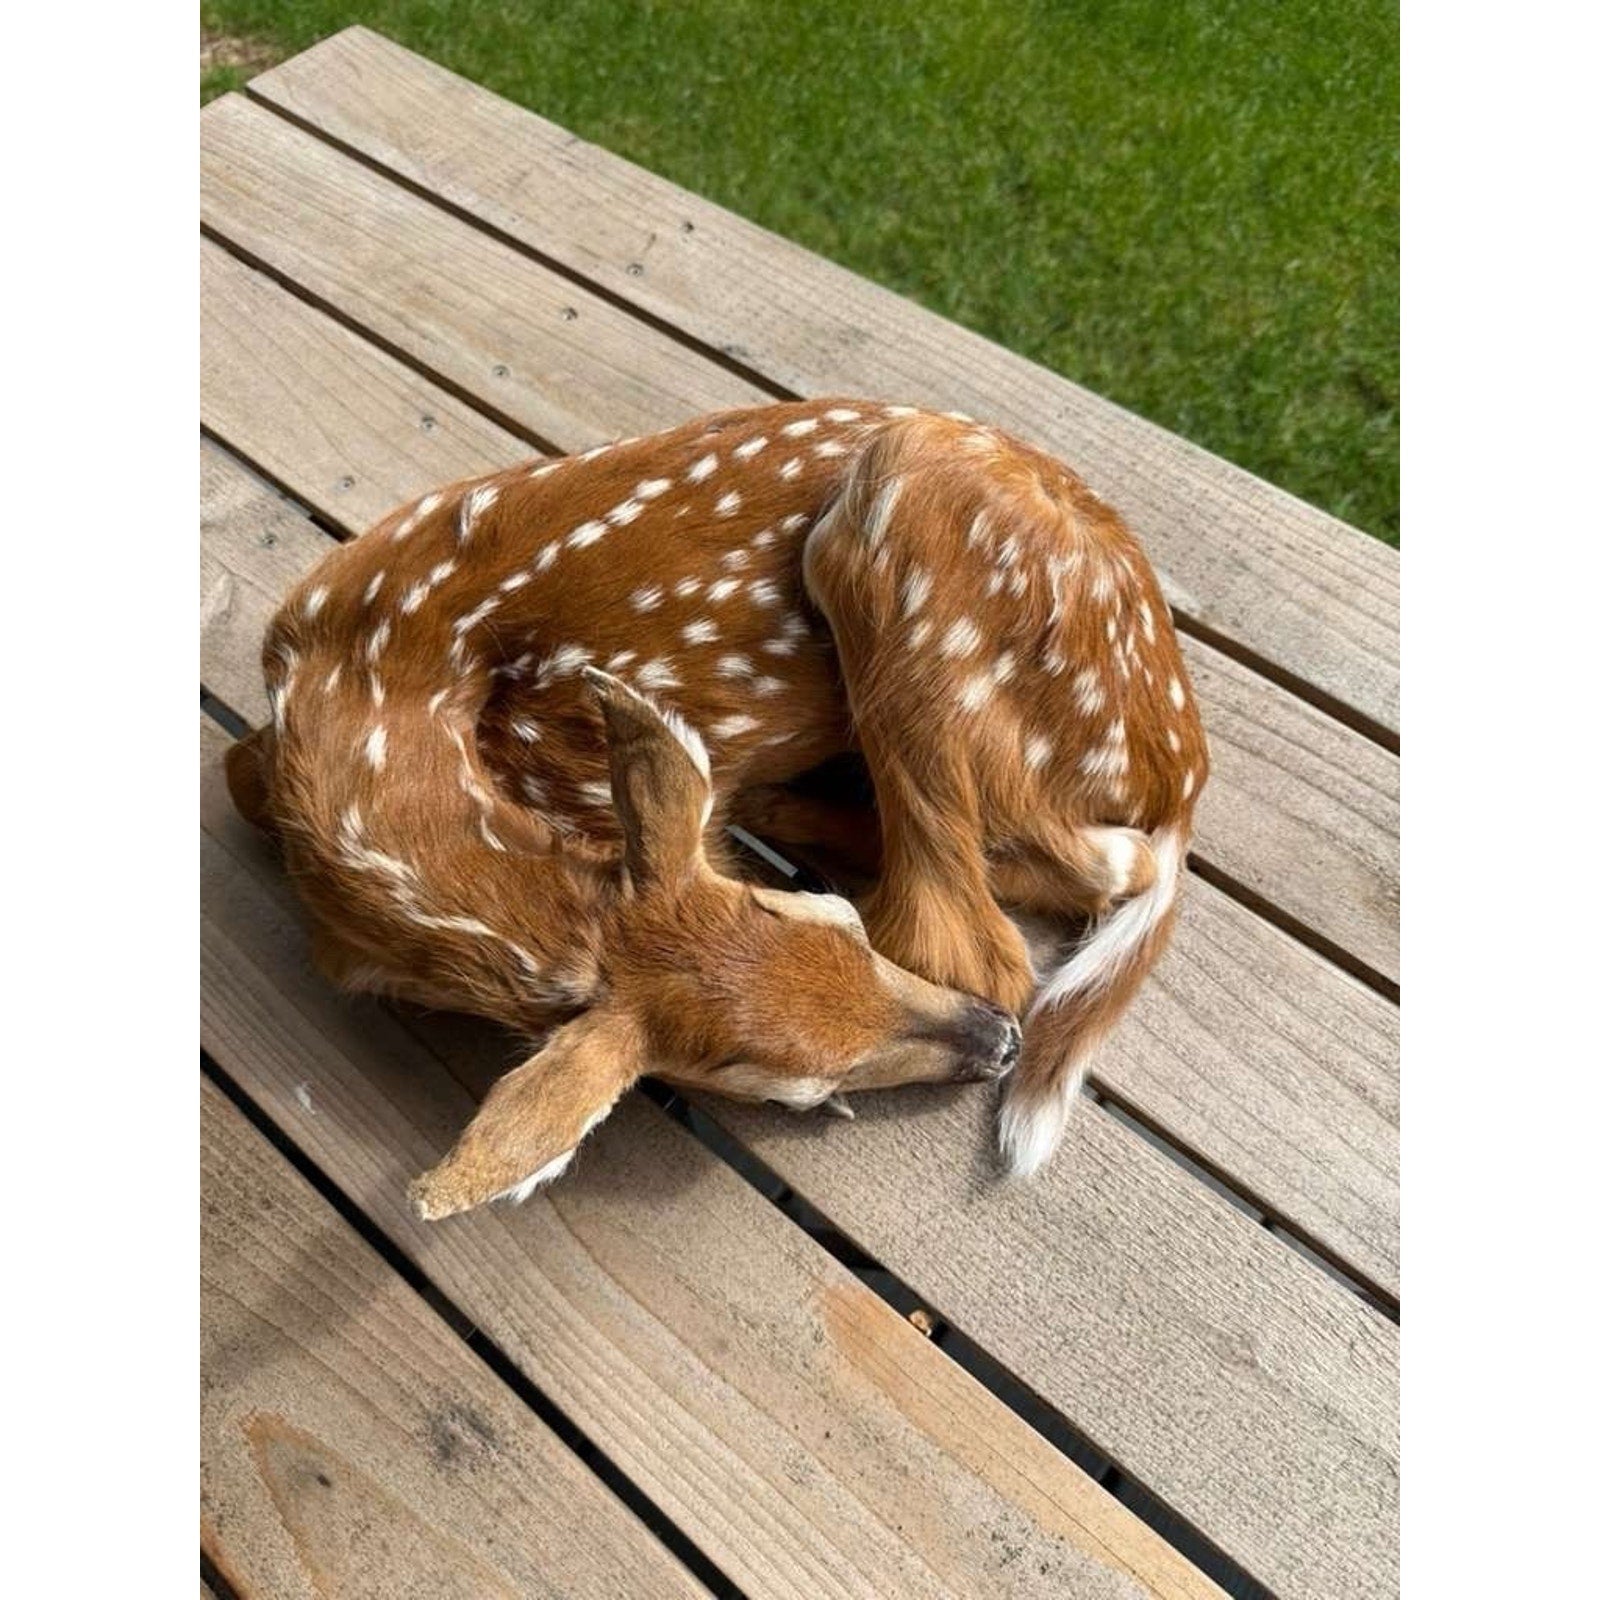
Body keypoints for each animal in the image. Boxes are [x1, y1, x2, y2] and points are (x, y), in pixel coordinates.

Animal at [225, 398, 1208, 1219]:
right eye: (786, 1087)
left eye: (842, 921)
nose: (998, 1044)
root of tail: (1182, 770)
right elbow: (234, 773)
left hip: (896, 517)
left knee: (990, 930)